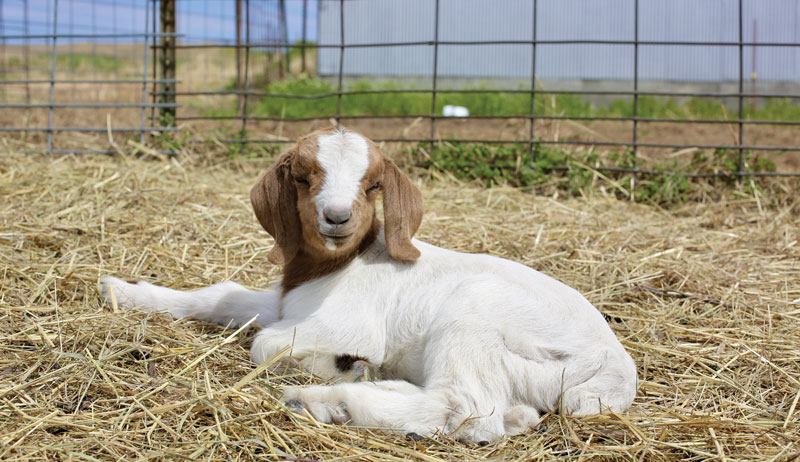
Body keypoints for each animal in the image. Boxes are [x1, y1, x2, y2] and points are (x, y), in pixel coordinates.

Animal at [99, 127, 637, 444]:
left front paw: (337, 365)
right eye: (302, 177)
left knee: (466, 407)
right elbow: (225, 294)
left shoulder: (348, 322)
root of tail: (615, 370)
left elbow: (264, 344)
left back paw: (328, 400)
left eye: (373, 184)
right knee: (491, 413)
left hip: (476, 311)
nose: (336, 218)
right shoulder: (289, 304)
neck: (336, 267)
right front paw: (121, 290)